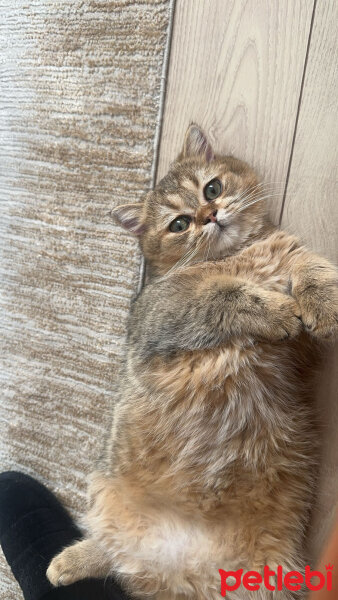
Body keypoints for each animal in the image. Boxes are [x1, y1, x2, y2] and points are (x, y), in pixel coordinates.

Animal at [47, 124, 338, 596]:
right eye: (179, 224)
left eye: (212, 188)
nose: (209, 214)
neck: (240, 255)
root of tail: (181, 571)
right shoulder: (163, 310)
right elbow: (225, 293)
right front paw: (275, 310)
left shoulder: (292, 260)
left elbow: (313, 269)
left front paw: (325, 303)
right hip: (104, 493)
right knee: (111, 552)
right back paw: (65, 563)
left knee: (118, 563)